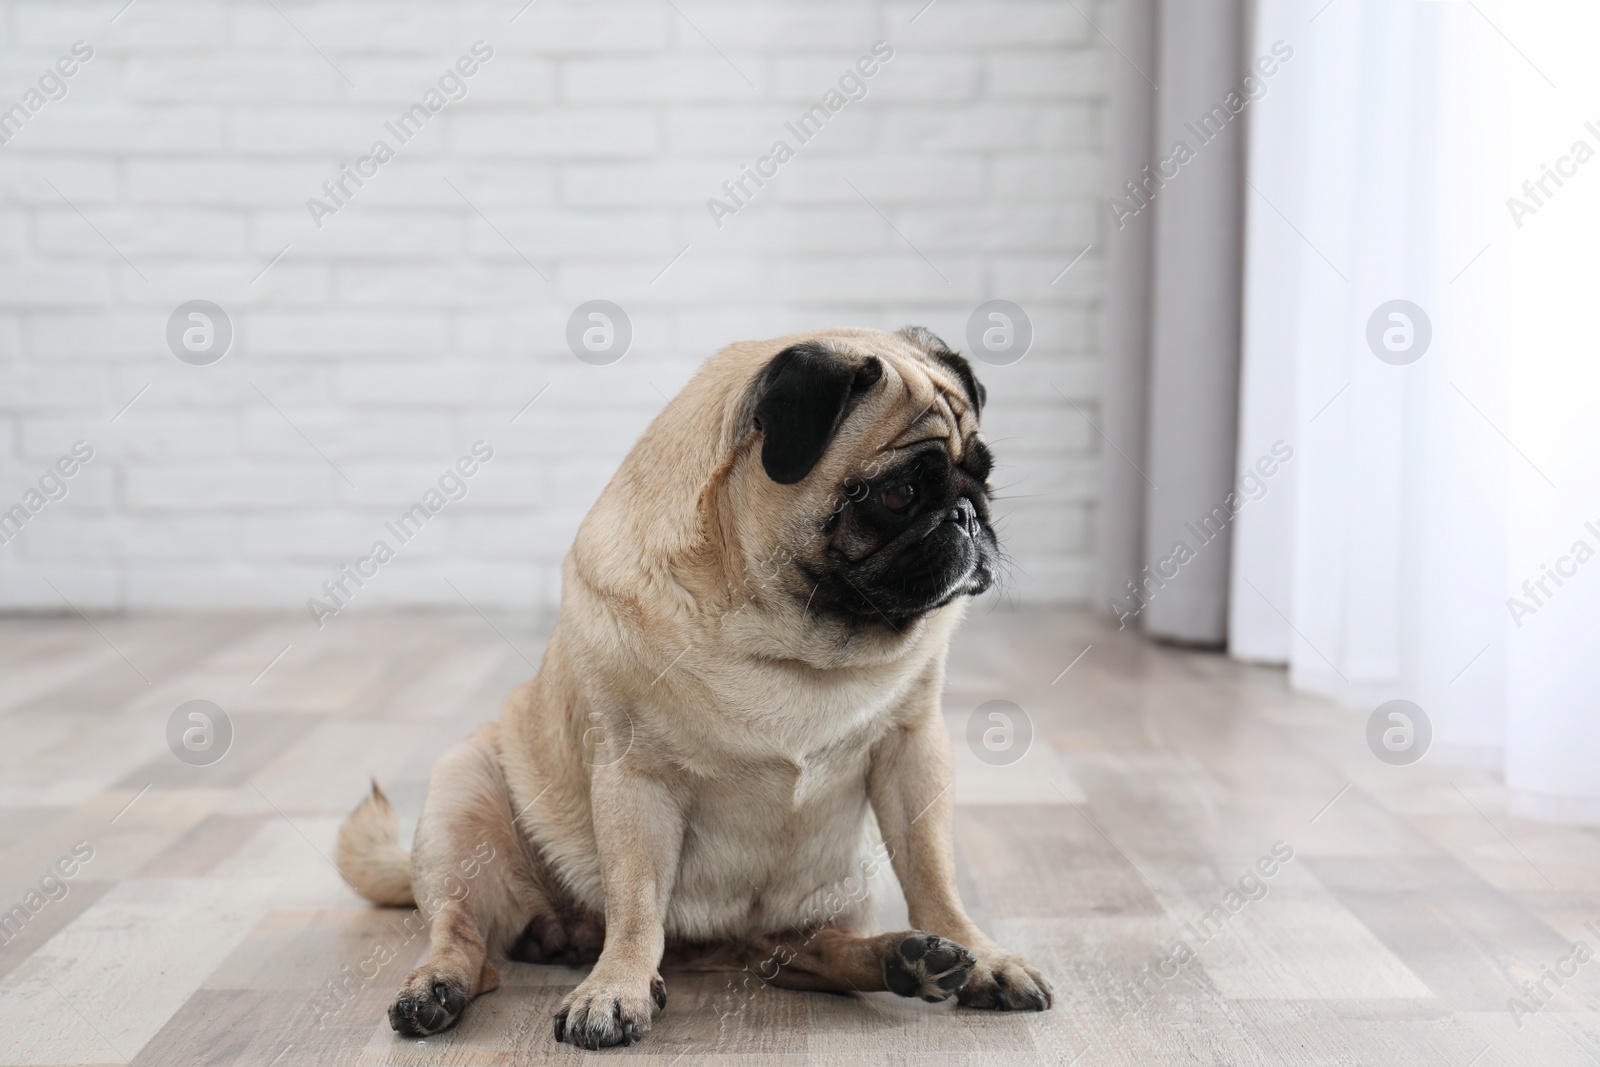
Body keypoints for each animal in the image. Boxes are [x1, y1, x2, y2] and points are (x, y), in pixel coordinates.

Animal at [337, 321, 1056, 1049]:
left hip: (827, 899)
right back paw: (438, 990)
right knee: (466, 938)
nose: (967, 514)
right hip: (461, 797)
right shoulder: (636, 779)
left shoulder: (913, 748)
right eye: (899, 494)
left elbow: (933, 872)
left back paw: (906, 959)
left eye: (984, 476)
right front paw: (616, 987)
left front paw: (980, 955)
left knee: (806, 951)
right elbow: (635, 902)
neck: (789, 639)